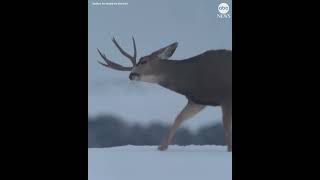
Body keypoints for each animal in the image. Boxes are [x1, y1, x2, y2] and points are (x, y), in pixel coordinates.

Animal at [97, 37, 232, 152]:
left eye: (143, 61)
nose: (131, 74)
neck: (191, 77)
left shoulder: (225, 97)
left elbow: (226, 125)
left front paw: (229, 149)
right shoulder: (198, 100)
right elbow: (179, 118)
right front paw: (161, 147)